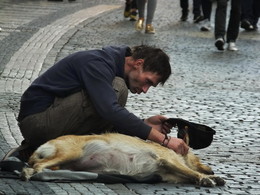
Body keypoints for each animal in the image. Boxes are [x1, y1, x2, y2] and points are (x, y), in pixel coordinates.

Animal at [21, 133, 225, 187]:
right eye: (198, 157)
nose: (212, 169)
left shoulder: (170, 173)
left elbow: (189, 175)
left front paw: (211, 177)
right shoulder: (168, 161)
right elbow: (192, 171)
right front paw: (207, 178)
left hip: (64, 162)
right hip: (70, 152)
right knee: (37, 165)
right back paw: (29, 173)